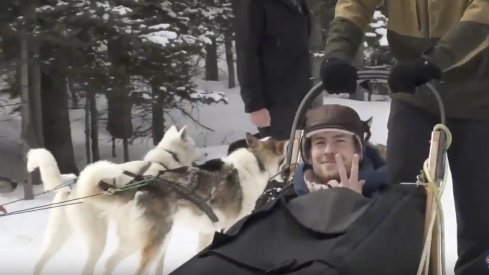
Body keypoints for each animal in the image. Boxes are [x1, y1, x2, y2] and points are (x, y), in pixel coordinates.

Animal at [29, 125, 198, 275]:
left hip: (59, 236)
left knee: (39, 263)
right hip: (104, 240)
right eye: (194, 145)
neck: (163, 163)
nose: (201, 157)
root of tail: (72, 184)